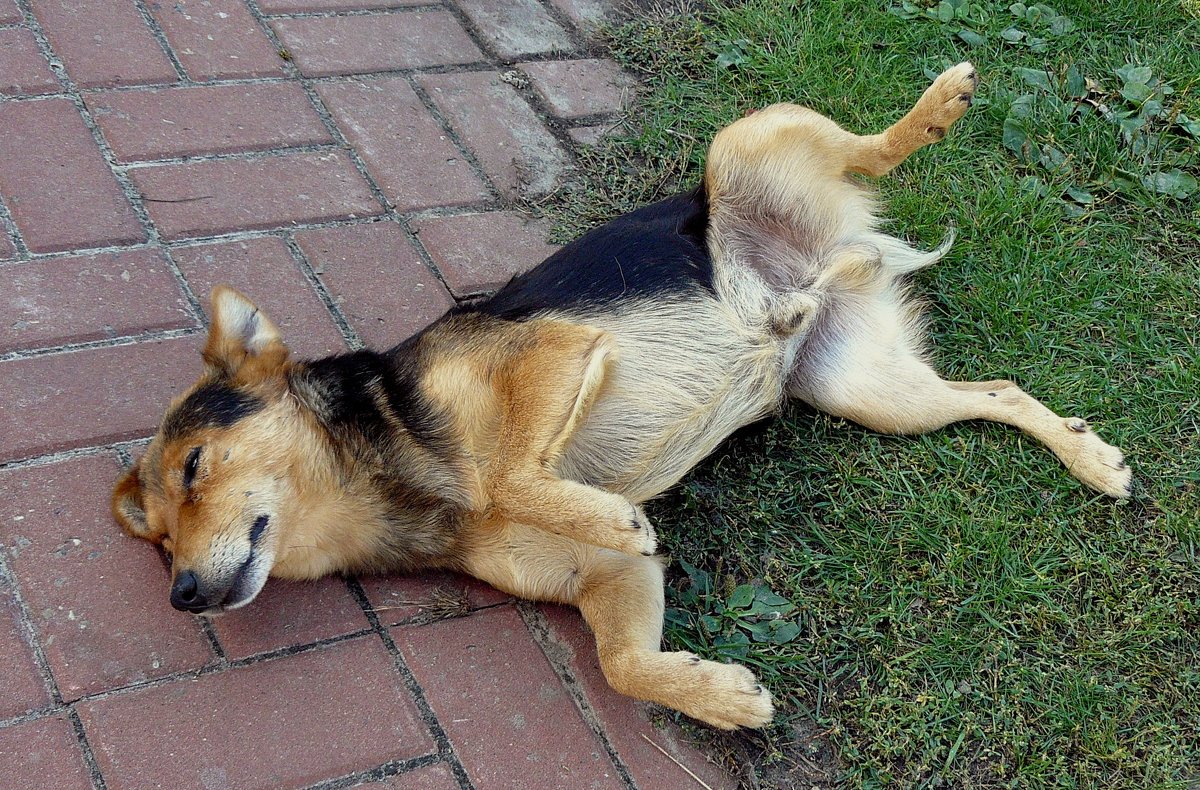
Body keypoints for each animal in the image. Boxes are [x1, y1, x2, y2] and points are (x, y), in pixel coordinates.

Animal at [108, 64, 1128, 729]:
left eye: (194, 469)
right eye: (157, 543)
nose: (184, 596)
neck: (397, 467)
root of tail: (824, 259)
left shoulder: (559, 347)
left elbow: (511, 473)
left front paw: (603, 510)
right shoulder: (609, 580)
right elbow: (625, 662)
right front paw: (716, 696)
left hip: (742, 145)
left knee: (865, 147)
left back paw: (937, 107)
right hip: (865, 387)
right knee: (998, 389)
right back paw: (1090, 457)